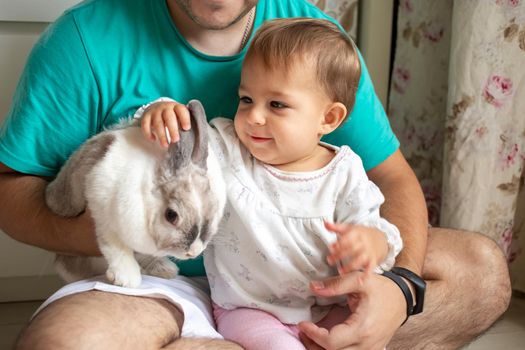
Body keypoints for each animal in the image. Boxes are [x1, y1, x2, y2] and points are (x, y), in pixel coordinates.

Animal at [45, 99, 225, 288]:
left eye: (214, 211)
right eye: (171, 215)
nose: (193, 252)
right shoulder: (103, 210)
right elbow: (114, 245)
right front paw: (127, 278)